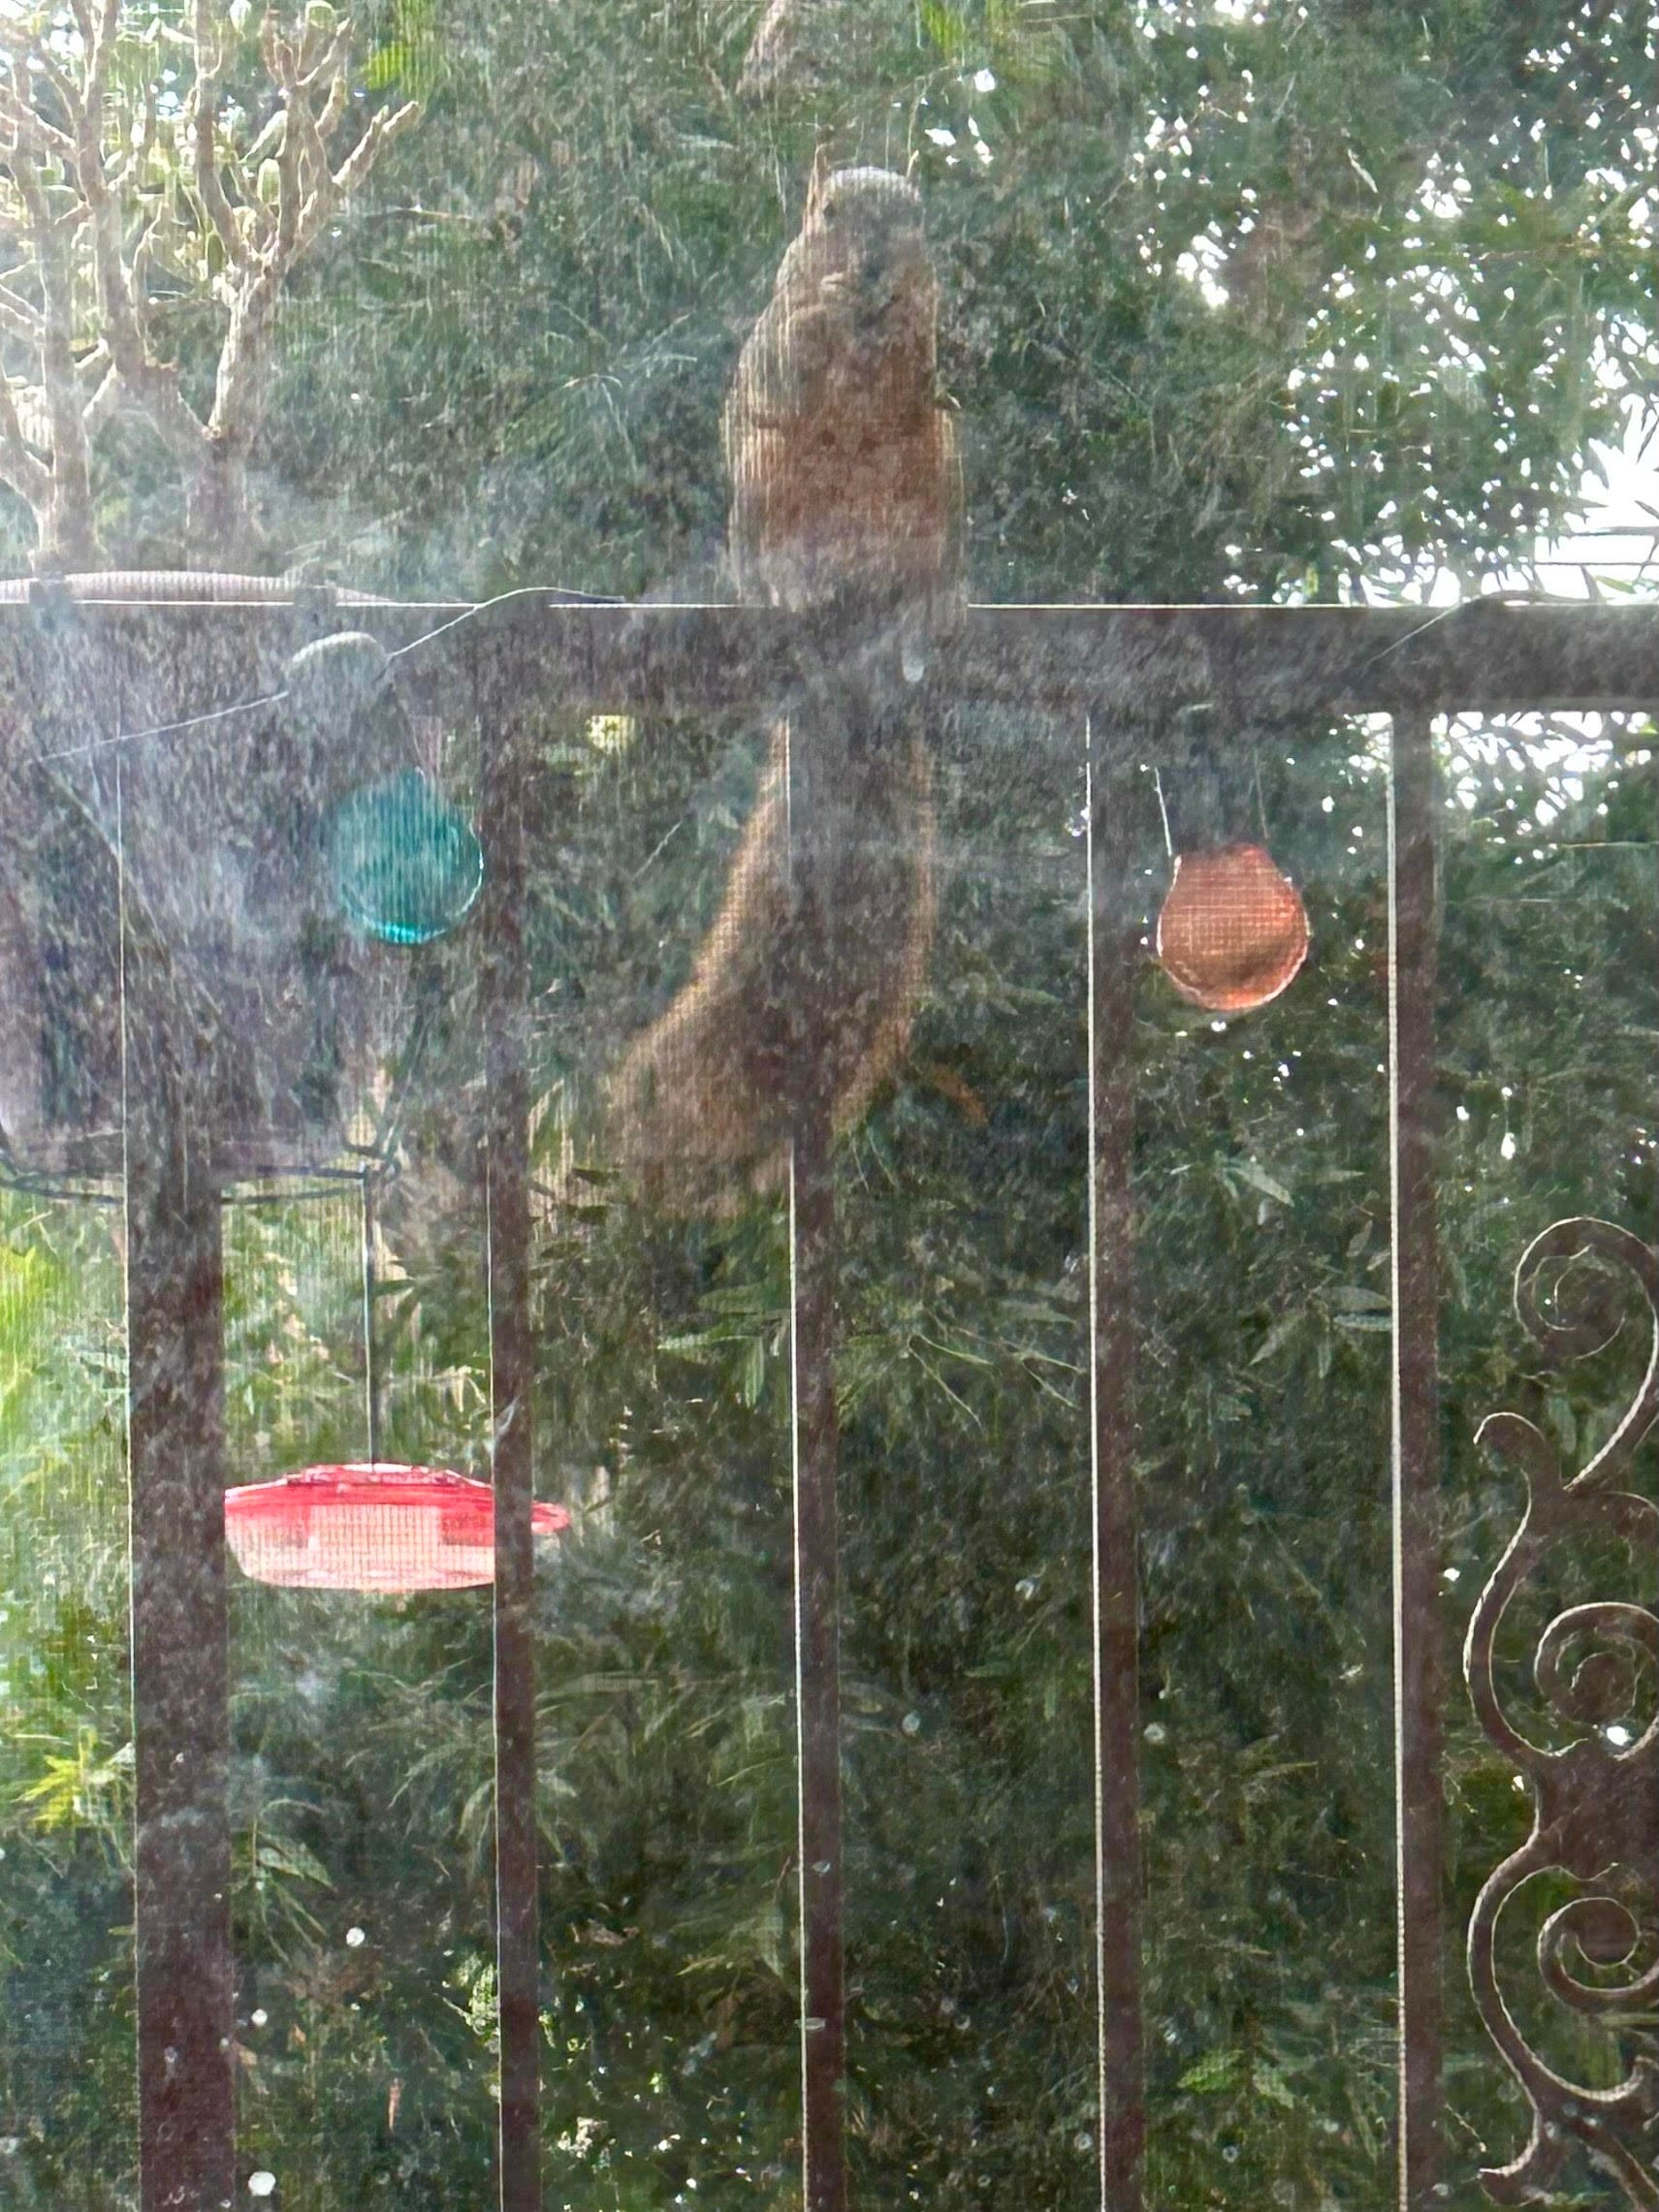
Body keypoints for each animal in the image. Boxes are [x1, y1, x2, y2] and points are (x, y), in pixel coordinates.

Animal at [611, 165, 962, 1211]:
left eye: (915, 218)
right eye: (826, 214)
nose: (876, 262)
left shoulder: (921, 372)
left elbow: (914, 360)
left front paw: (901, 309)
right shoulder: (773, 349)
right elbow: (788, 354)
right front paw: (828, 304)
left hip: (940, 460)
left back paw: (926, 601)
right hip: (764, 487)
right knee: (773, 553)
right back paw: (792, 590)